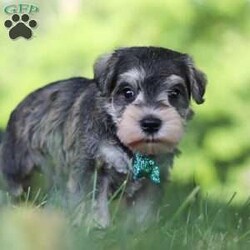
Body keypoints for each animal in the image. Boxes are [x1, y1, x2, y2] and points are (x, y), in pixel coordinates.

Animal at [0, 46, 207, 228]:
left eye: (174, 93)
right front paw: (96, 226)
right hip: (17, 170)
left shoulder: (152, 180)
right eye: (127, 92)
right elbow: (93, 203)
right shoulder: (92, 169)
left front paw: (143, 231)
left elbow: (143, 211)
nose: (150, 123)